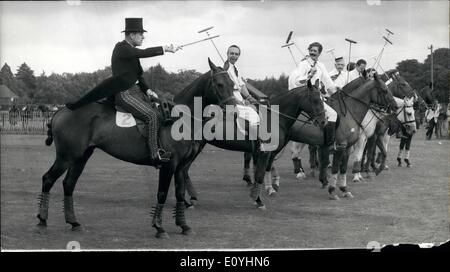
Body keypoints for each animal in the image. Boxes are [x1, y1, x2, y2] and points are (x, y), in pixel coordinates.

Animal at [37, 58, 239, 237]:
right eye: (219, 84)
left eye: (233, 83)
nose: (235, 112)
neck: (180, 119)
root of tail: (61, 111)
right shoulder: (169, 165)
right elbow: (162, 194)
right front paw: (159, 228)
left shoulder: (182, 167)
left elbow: (180, 194)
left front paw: (184, 226)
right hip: (66, 156)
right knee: (48, 179)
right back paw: (42, 219)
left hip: (82, 156)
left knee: (68, 183)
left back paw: (73, 222)